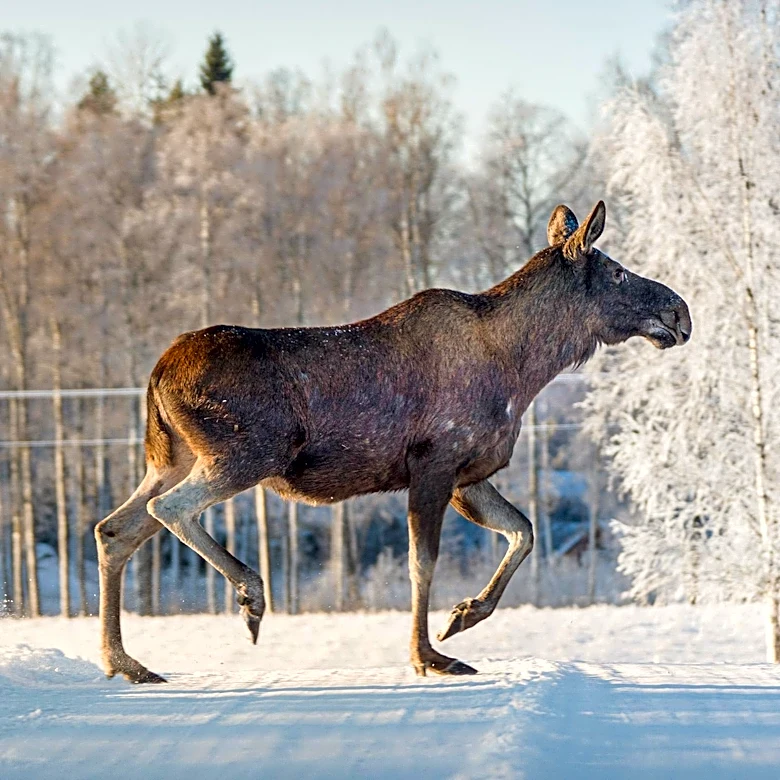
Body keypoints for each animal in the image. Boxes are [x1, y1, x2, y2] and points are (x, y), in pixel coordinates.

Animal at [94, 201, 691, 683]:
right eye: (617, 272)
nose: (679, 312)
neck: (526, 367)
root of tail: (157, 373)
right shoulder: (434, 463)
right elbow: (422, 562)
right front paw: (428, 655)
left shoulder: (467, 476)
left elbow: (523, 531)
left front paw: (462, 616)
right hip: (248, 452)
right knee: (171, 509)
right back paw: (249, 595)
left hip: (170, 458)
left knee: (114, 529)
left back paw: (125, 661)